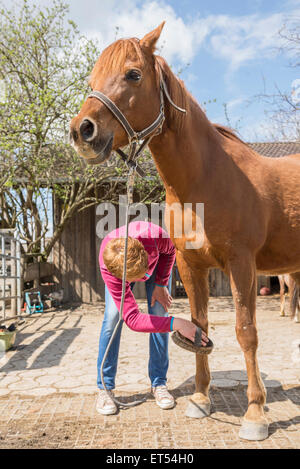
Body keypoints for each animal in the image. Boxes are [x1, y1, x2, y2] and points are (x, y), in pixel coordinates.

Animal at [69, 22, 300, 438]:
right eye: (91, 80)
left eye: (133, 74)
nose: (83, 131)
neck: (207, 180)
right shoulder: (192, 266)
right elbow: (199, 325)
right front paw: (200, 399)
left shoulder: (242, 265)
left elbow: (246, 331)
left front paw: (255, 414)